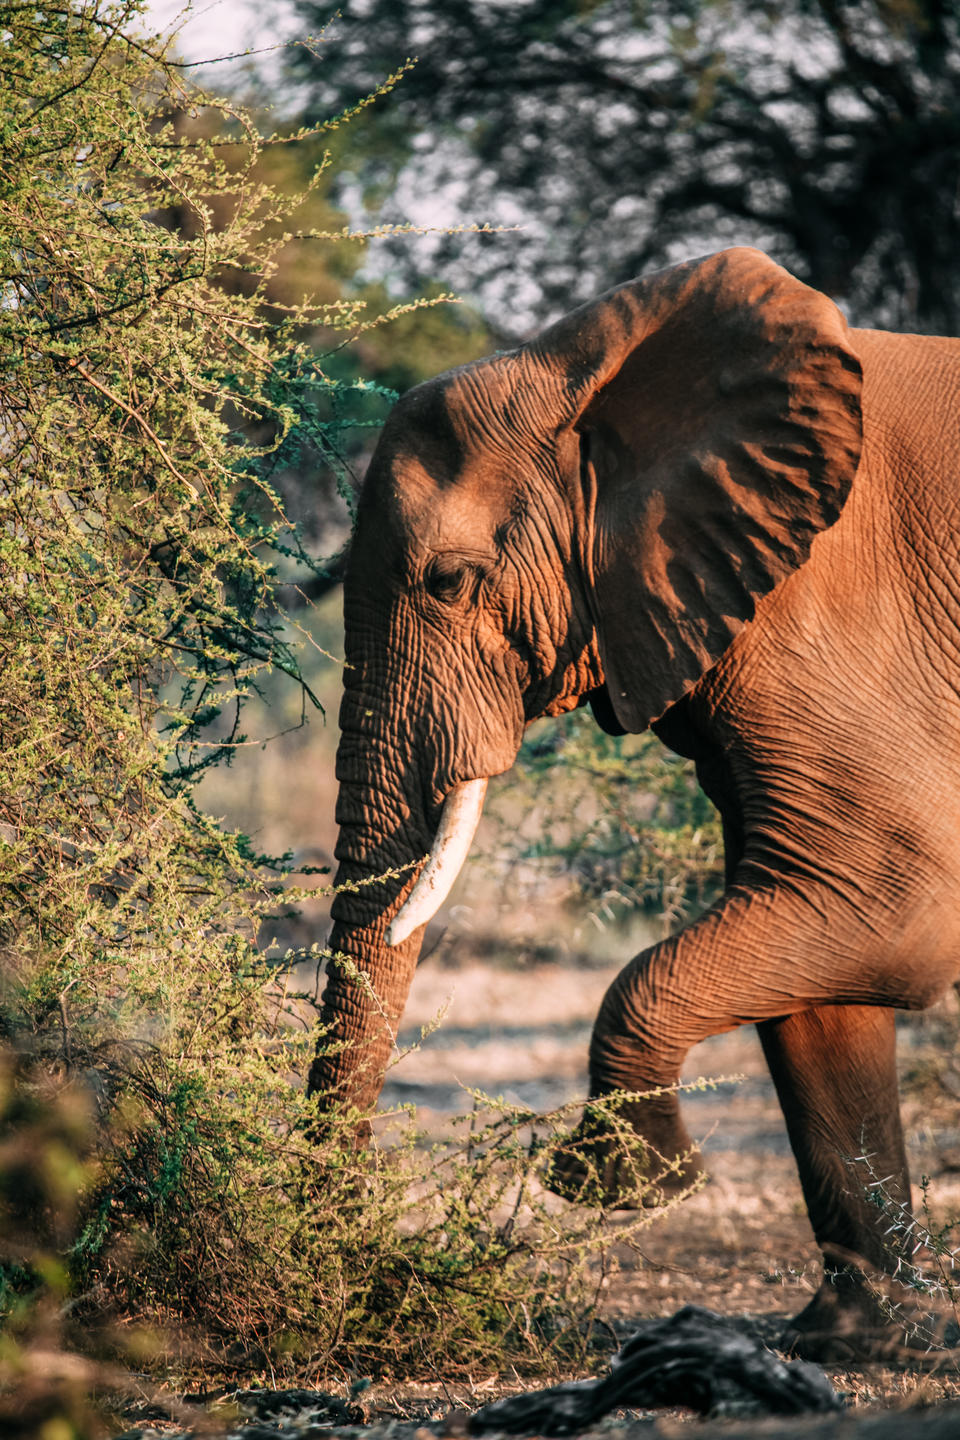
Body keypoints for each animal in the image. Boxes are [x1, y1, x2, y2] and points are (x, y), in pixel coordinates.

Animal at [307, 247, 960, 1362]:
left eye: (451, 582)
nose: (348, 1263)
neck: (581, 369)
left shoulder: (829, 625)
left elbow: (894, 906)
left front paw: (621, 1186)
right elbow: (818, 953)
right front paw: (857, 1343)